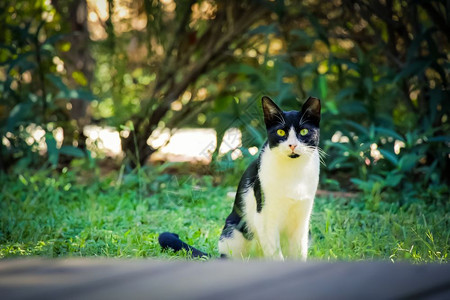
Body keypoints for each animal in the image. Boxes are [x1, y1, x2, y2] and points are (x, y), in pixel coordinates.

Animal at [158, 96, 320, 260]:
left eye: (304, 131)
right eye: (281, 132)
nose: (292, 145)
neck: (294, 171)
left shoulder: (302, 219)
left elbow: (299, 252)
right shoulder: (265, 217)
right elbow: (275, 253)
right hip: (233, 231)